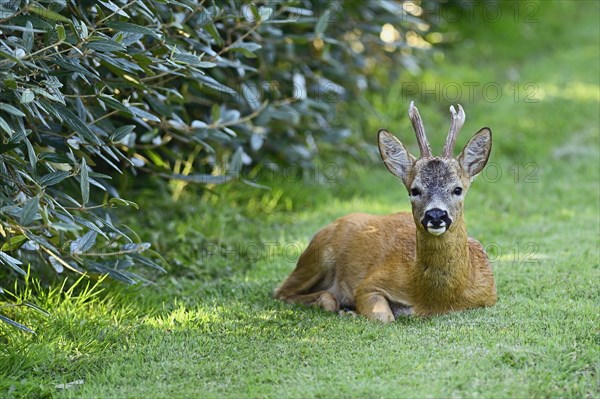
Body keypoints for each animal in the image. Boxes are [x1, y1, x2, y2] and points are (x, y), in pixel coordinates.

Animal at [274, 102, 494, 322]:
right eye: (414, 190)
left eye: (457, 189)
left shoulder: (489, 296)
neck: (437, 300)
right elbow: (384, 317)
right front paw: (353, 310)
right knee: (282, 292)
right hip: (317, 256)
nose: (436, 215)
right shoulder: (370, 284)